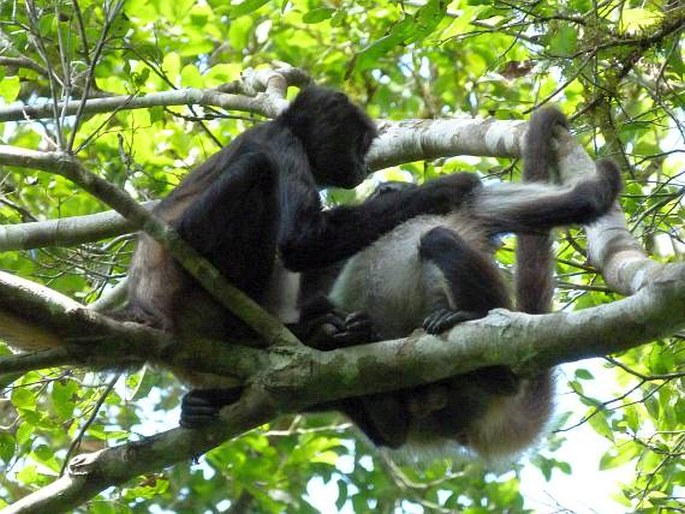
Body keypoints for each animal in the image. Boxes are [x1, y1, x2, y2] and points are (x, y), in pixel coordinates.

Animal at [302, 106, 624, 458]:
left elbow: (585, 201)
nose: (385, 193)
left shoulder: (472, 203)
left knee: (437, 238)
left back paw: (475, 335)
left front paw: (605, 180)